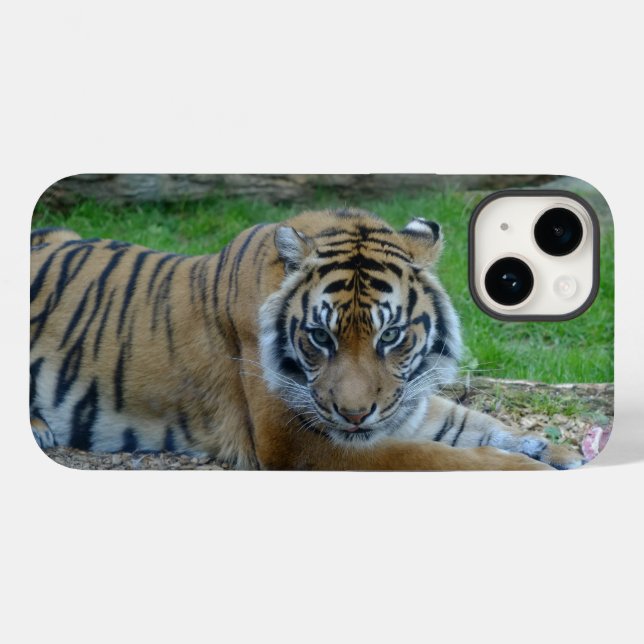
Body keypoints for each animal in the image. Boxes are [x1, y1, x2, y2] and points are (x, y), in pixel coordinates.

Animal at [30, 208, 584, 470]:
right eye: (319, 336)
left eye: (391, 335)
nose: (355, 416)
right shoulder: (296, 442)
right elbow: (434, 457)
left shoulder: (405, 401)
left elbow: (474, 425)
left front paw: (557, 450)